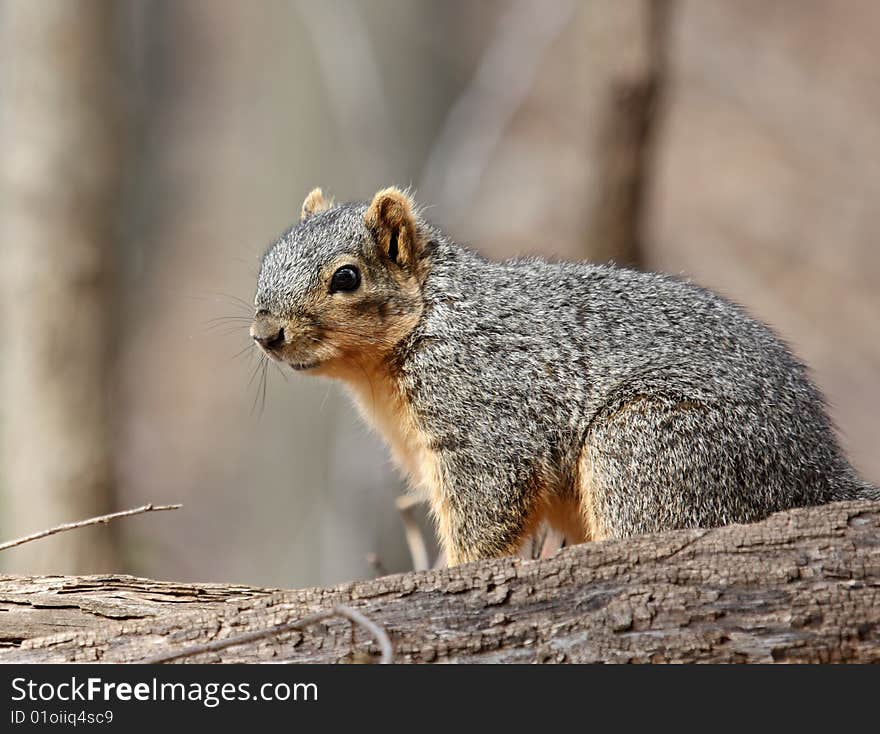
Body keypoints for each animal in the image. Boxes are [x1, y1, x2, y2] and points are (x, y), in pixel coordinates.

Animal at [249, 187, 880, 568]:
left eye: (347, 278)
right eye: (266, 260)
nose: (265, 333)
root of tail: (817, 474)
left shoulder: (482, 413)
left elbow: (488, 505)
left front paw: (452, 573)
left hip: (647, 449)